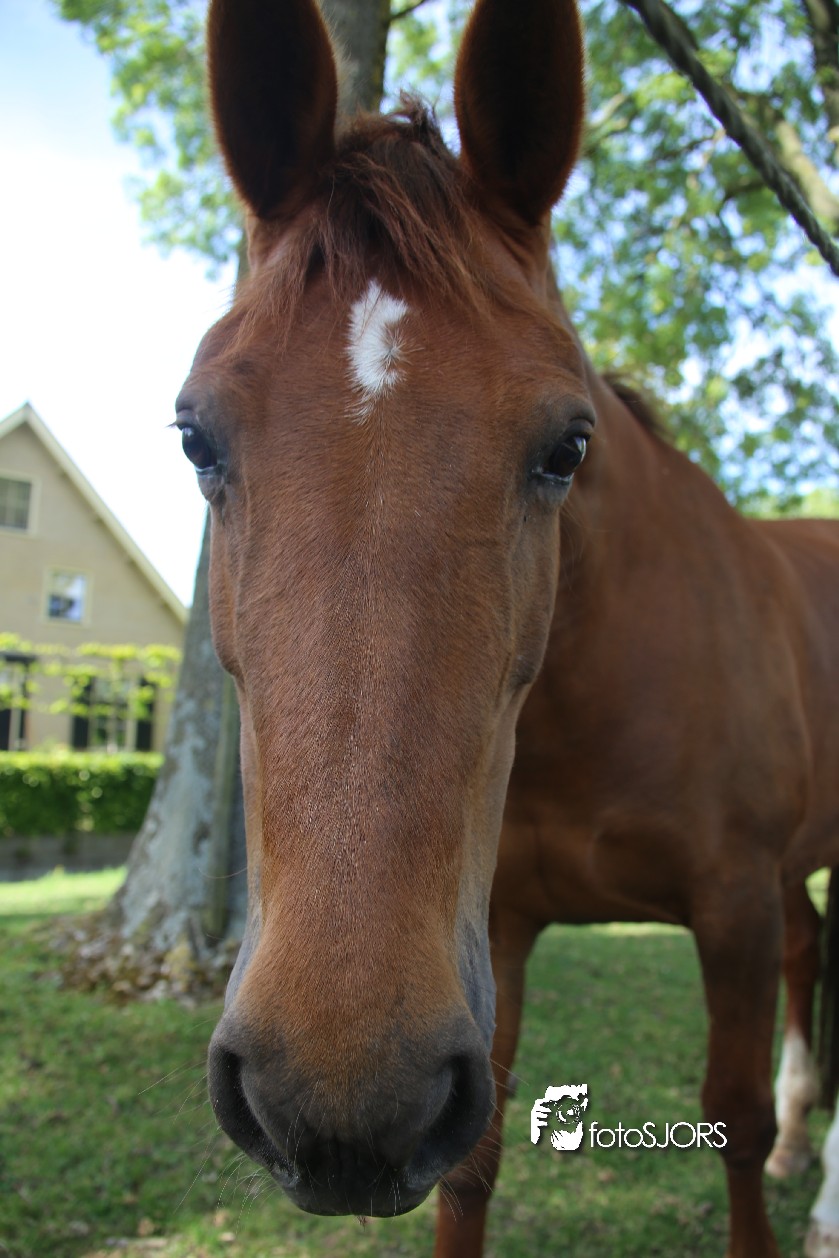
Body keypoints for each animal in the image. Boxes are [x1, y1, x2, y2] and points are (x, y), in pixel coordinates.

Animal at [178, 0, 839, 1254]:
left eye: (567, 445)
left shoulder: (726, 904)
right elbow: (473, 1164)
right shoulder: (497, 933)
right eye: (195, 435)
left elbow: (724, 1117)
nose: (336, 1096)